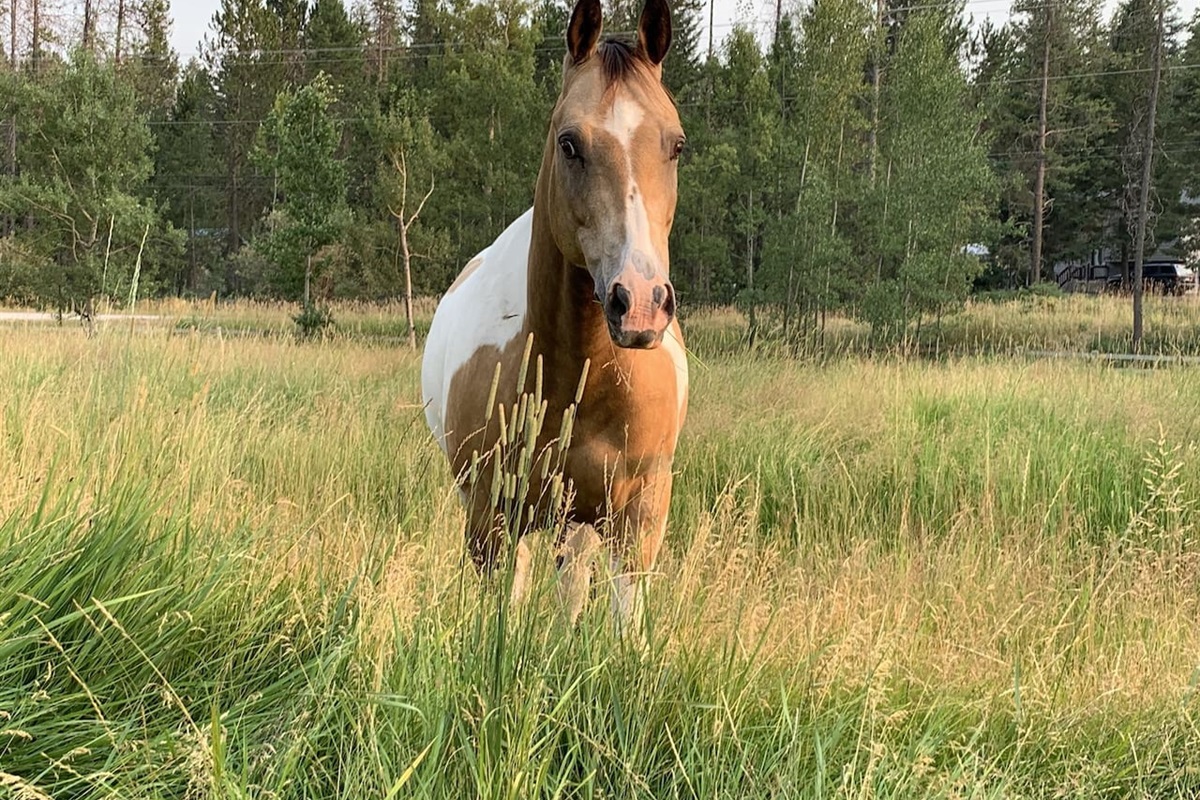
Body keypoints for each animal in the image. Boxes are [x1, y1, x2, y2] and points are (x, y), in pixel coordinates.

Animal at [421, 0, 687, 633]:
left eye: (676, 145)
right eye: (569, 144)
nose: (640, 303)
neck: (580, 378)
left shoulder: (637, 521)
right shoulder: (491, 517)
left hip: (581, 522)